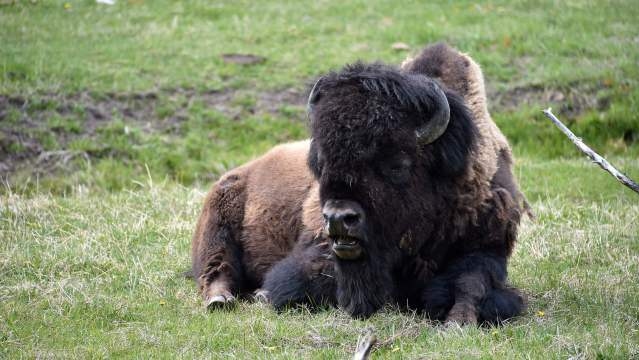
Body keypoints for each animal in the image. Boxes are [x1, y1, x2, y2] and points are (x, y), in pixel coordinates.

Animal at [191, 43, 528, 324]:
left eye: (397, 164)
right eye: (322, 163)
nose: (339, 218)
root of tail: (238, 173)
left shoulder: (486, 248)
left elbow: (472, 284)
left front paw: (458, 321)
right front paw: (264, 294)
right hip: (217, 230)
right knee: (216, 269)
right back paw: (220, 300)